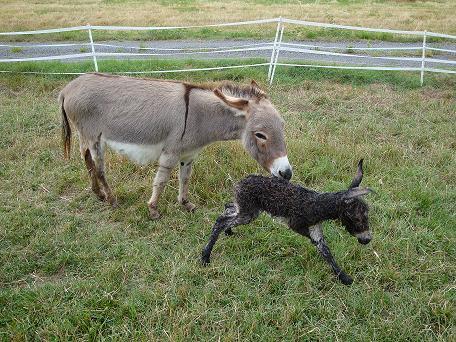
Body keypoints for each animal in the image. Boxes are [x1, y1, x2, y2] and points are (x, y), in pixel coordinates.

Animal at [203, 160, 374, 286]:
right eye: (357, 218)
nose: (367, 239)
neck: (318, 205)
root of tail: (240, 183)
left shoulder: (315, 230)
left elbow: (327, 253)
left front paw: (344, 278)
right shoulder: (298, 225)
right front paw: (345, 279)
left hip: (247, 208)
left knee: (228, 208)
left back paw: (227, 232)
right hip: (248, 213)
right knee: (221, 221)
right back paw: (205, 257)